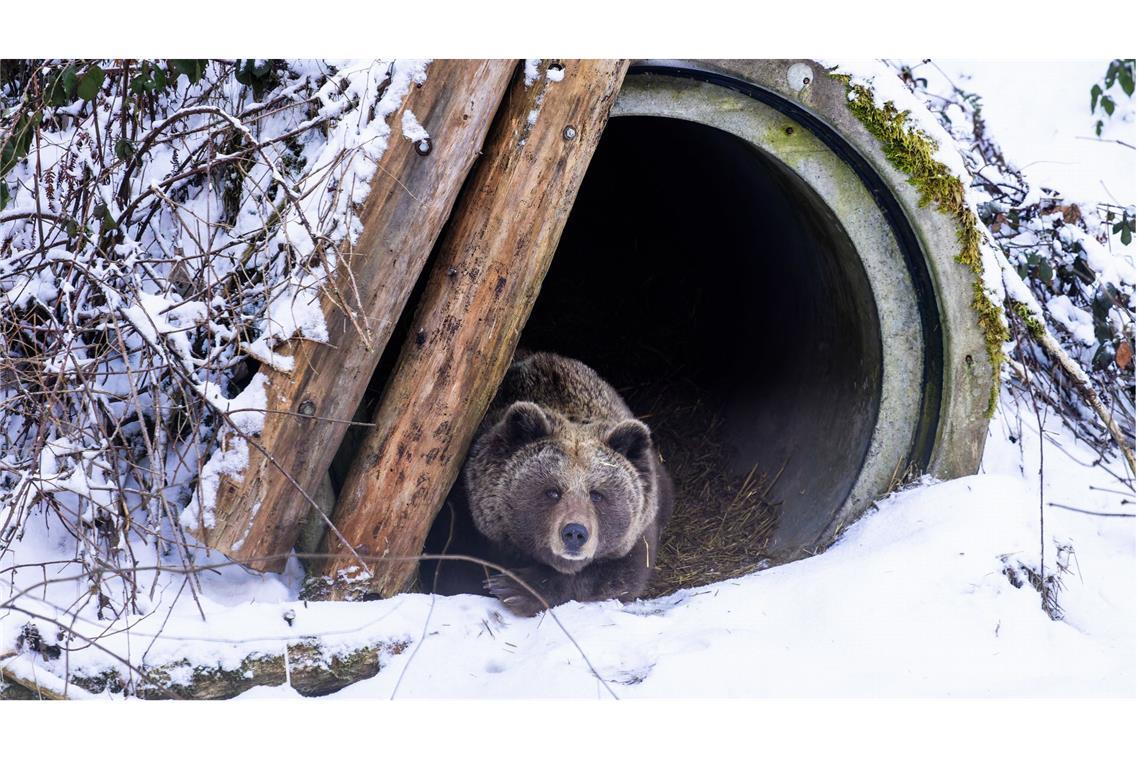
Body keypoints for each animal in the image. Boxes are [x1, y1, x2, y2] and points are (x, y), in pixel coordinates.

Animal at [421, 353, 670, 619]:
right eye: (552, 491)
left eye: (597, 494)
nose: (575, 533)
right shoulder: (462, 513)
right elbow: (453, 569)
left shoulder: (638, 534)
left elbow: (620, 575)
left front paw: (515, 588)